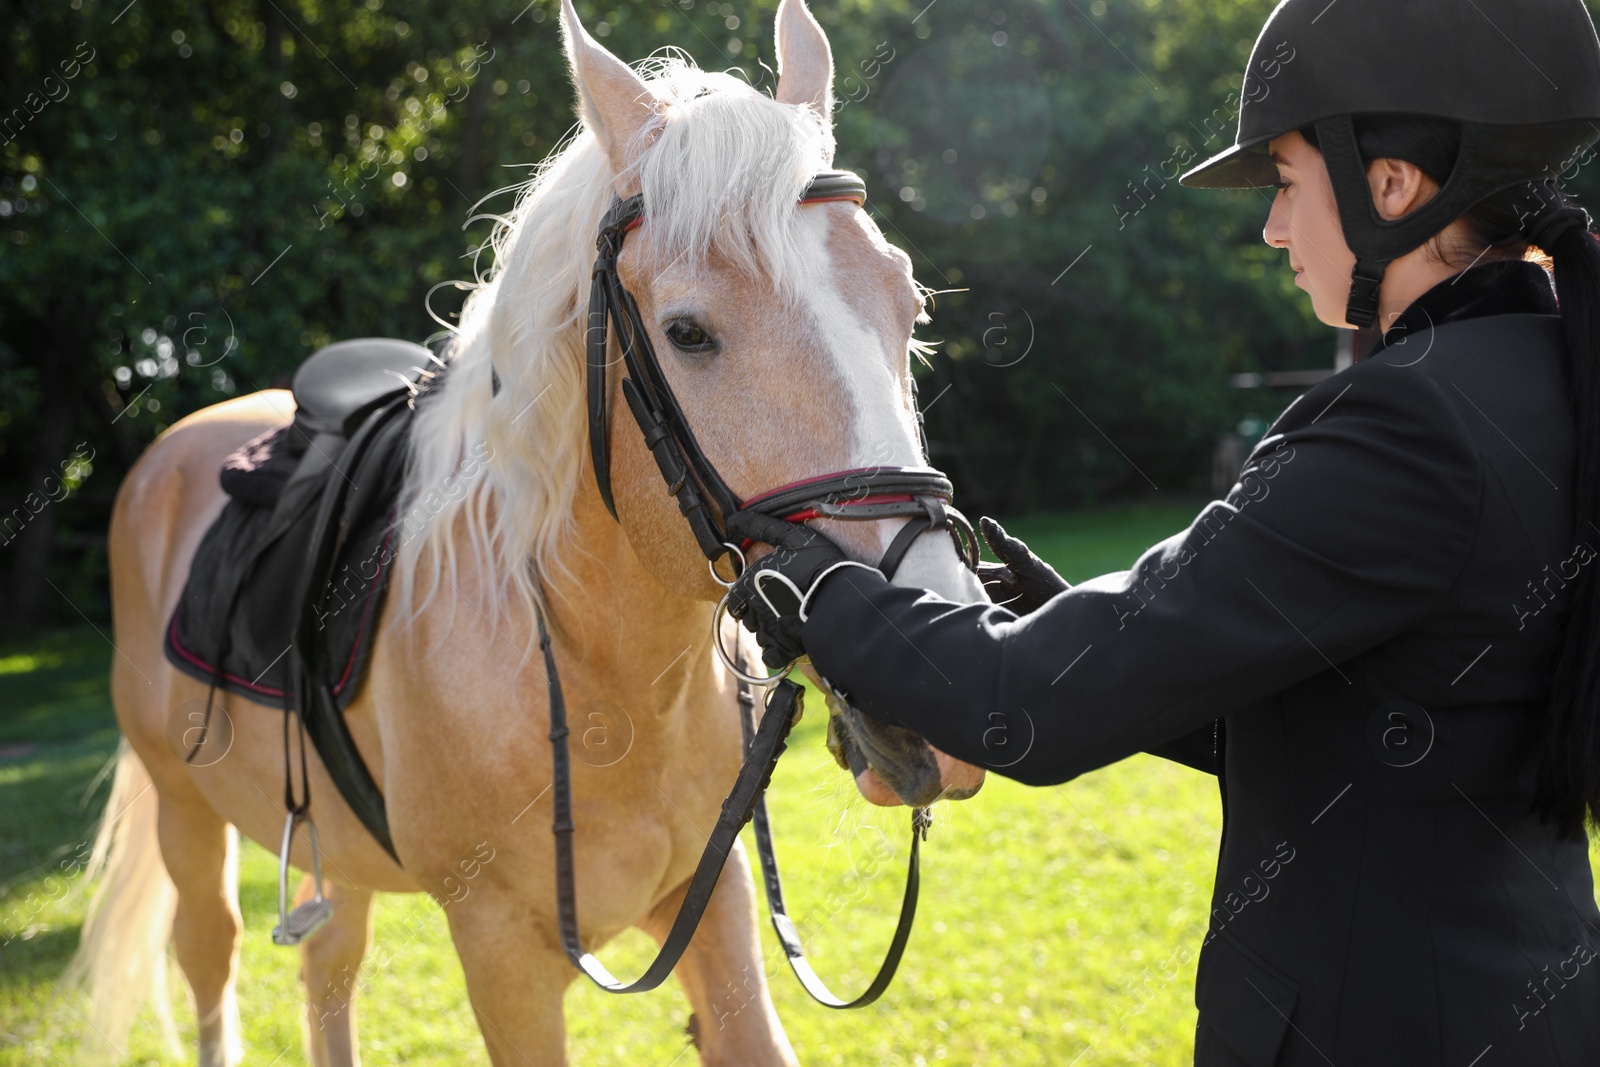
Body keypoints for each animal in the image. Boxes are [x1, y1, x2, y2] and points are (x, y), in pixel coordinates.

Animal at [72, 0, 985, 1062]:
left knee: (327, 968)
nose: (928, 673)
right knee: (209, 959)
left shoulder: (714, 906)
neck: (606, 681)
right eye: (687, 333)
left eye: (908, 303)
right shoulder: (500, 951)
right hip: (188, 820)